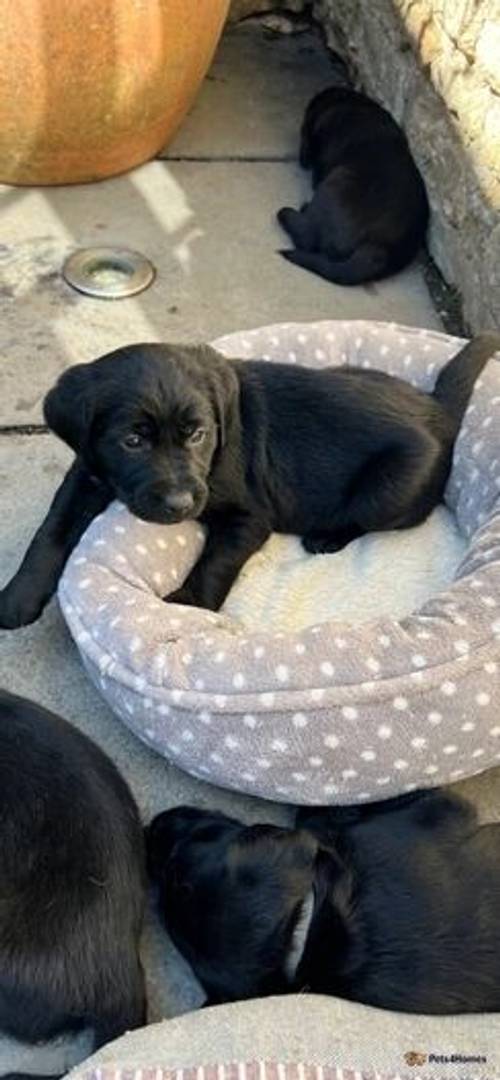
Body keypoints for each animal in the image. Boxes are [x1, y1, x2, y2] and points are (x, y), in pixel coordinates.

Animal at [1, 332, 498, 630]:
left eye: (197, 433)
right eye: (132, 440)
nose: (180, 504)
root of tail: (438, 408)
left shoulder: (250, 515)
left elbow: (216, 560)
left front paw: (186, 608)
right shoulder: (88, 470)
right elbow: (51, 530)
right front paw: (18, 596)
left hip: (389, 490)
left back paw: (327, 536)